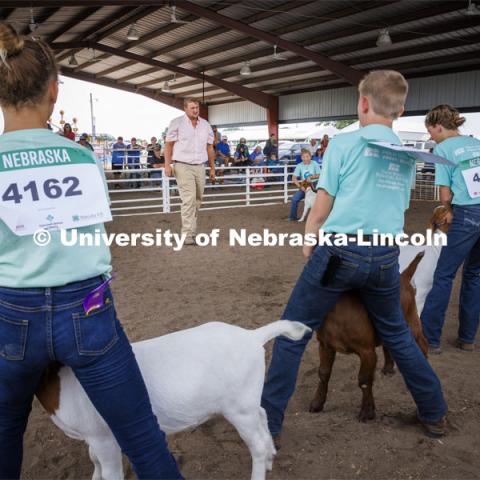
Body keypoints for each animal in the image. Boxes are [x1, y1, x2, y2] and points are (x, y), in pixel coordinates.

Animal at [39, 320, 314, 480]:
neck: (62, 379)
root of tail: (252, 336)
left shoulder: (103, 436)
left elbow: (107, 470)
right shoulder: (94, 436)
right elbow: (93, 460)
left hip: (239, 409)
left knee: (255, 443)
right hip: (246, 398)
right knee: (262, 414)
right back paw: (270, 457)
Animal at [310, 253, 430, 422]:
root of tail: (404, 277)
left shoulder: (367, 352)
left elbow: (364, 380)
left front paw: (367, 412)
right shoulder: (325, 346)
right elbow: (323, 374)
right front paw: (317, 403)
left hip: (411, 322)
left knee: (423, 344)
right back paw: (388, 369)